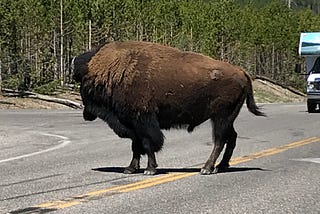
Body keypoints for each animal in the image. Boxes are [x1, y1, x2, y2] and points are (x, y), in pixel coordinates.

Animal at [73, 40, 264, 176]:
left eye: (83, 85)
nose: (85, 114)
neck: (113, 72)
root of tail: (242, 72)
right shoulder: (133, 124)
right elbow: (136, 147)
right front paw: (130, 168)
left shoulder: (143, 121)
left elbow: (148, 144)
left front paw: (150, 169)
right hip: (227, 118)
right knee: (231, 138)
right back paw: (222, 166)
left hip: (220, 118)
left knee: (219, 140)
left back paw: (207, 168)